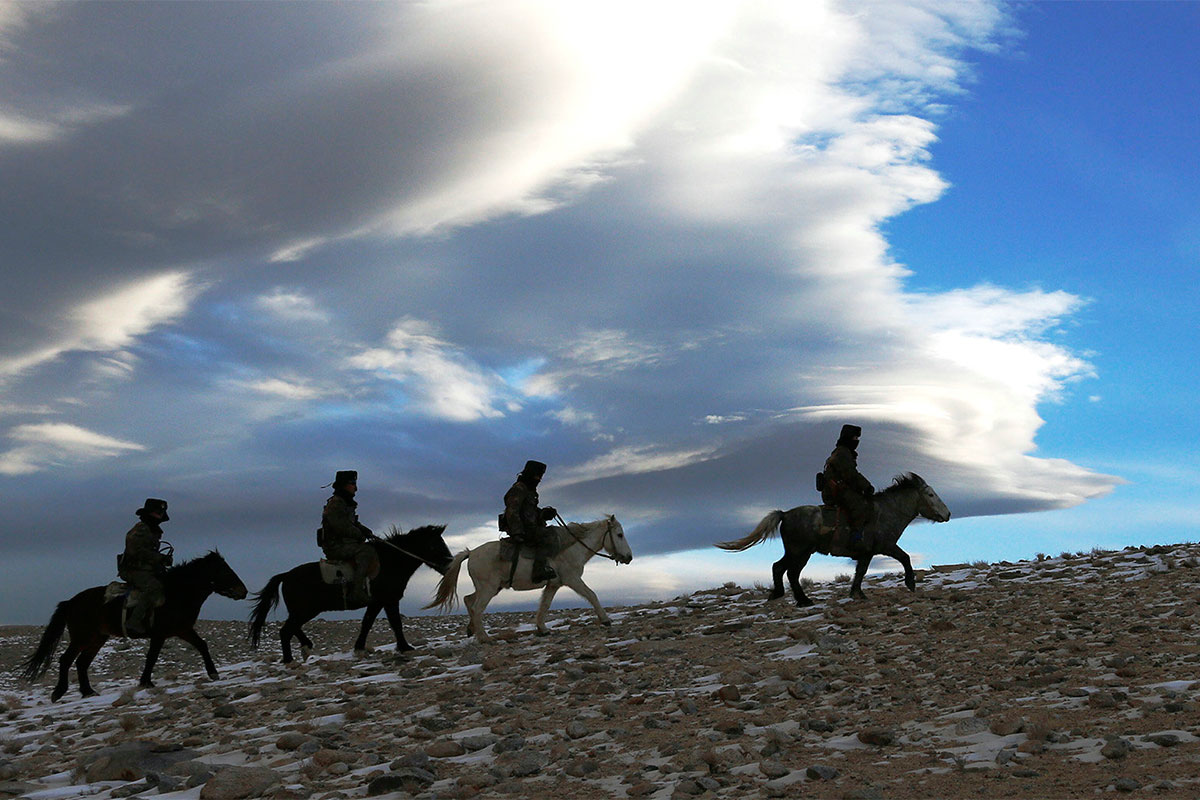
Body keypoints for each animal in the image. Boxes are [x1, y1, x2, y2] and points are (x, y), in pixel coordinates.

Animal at [19, 551, 248, 700]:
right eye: (224, 570)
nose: (243, 591)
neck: (176, 593)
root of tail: (71, 602)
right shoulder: (160, 634)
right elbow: (152, 657)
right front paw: (146, 682)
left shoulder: (182, 629)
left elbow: (202, 645)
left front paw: (213, 673)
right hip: (82, 637)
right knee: (66, 660)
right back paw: (59, 692)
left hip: (98, 638)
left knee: (82, 663)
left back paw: (88, 692)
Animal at [432, 520, 638, 642]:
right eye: (619, 535)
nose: (629, 557)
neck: (569, 549)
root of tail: (471, 553)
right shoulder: (572, 579)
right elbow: (591, 595)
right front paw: (606, 620)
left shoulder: (553, 584)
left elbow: (545, 605)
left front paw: (542, 629)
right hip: (488, 589)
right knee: (477, 607)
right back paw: (484, 638)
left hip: (491, 587)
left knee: (468, 599)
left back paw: (471, 630)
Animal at [715, 472, 950, 604]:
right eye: (930, 495)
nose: (947, 514)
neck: (885, 512)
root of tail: (785, 514)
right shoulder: (885, 547)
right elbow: (905, 558)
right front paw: (910, 583)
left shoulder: (867, 554)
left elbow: (860, 572)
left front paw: (857, 594)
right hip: (800, 552)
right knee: (789, 572)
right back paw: (803, 601)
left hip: (796, 552)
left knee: (779, 568)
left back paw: (782, 595)